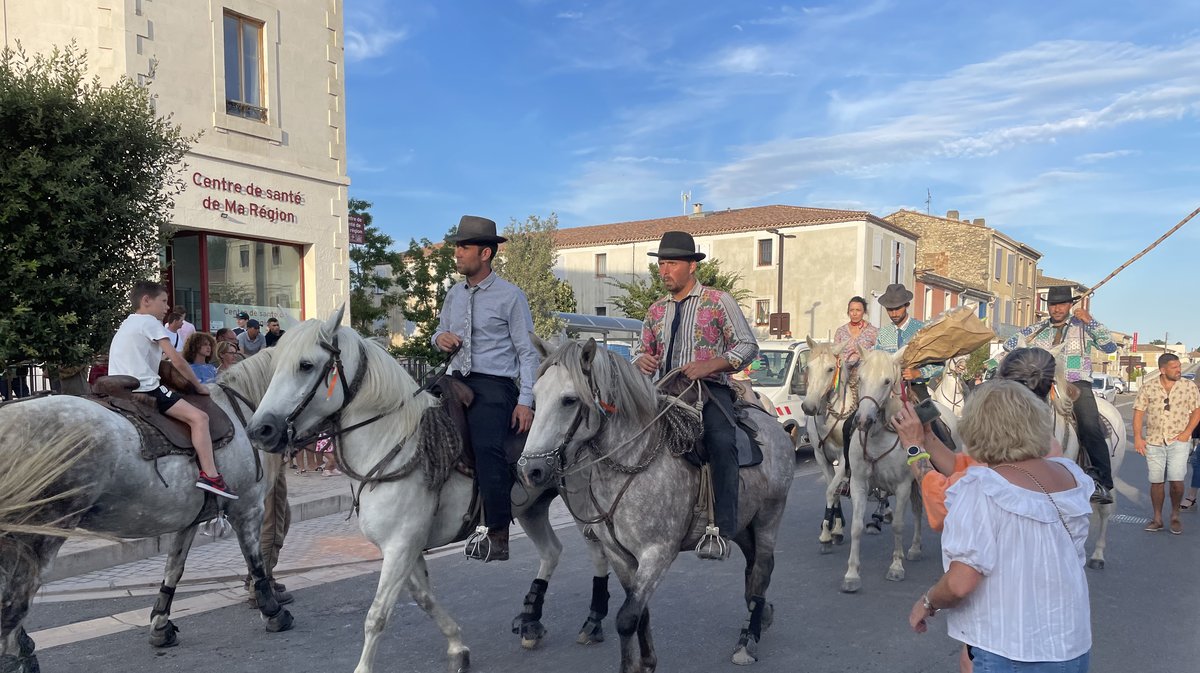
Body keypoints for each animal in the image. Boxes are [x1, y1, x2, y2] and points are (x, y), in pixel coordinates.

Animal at [0, 352, 292, 671]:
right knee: (15, 599)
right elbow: (256, 562)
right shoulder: (248, 508)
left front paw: (161, 626)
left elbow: (174, 569)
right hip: (39, 533)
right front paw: (273, 612)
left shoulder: (190, 519)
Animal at [244, 309, 614, 671]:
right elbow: (423, 599)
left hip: (581, 505)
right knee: (551, 552)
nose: (259, 430)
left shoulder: (400, 545)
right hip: (532, 508)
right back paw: (530, 620)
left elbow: (377, 615)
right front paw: (457, 646)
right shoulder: (402, 548)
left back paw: (593, 622)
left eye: (305, 365)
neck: (392, 442)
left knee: (598, 554)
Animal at [518, 340, 792, 671]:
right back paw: (762, 616)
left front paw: (634, 664)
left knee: (762, 569)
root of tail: (772, 423)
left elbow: (626, 617)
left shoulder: (658, 552)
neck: (633, 461)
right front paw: (647, 660)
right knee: (753, 571)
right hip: (741, 523)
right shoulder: (619, 556)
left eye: (569, 400)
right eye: (535, 397)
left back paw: (747, 641)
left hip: (769, 516)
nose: (530, 471)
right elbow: (639, 611)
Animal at [840, 343, 960, 590]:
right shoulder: (859, 483)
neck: (880, 436)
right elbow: (856, 526)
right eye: (860, 378)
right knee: (917, 509)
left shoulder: (903, 485)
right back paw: (913, 548)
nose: (863, 420)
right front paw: (852, 574)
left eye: (887, 381)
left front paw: (896, 567)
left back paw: (913, 549)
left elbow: (897, 525)